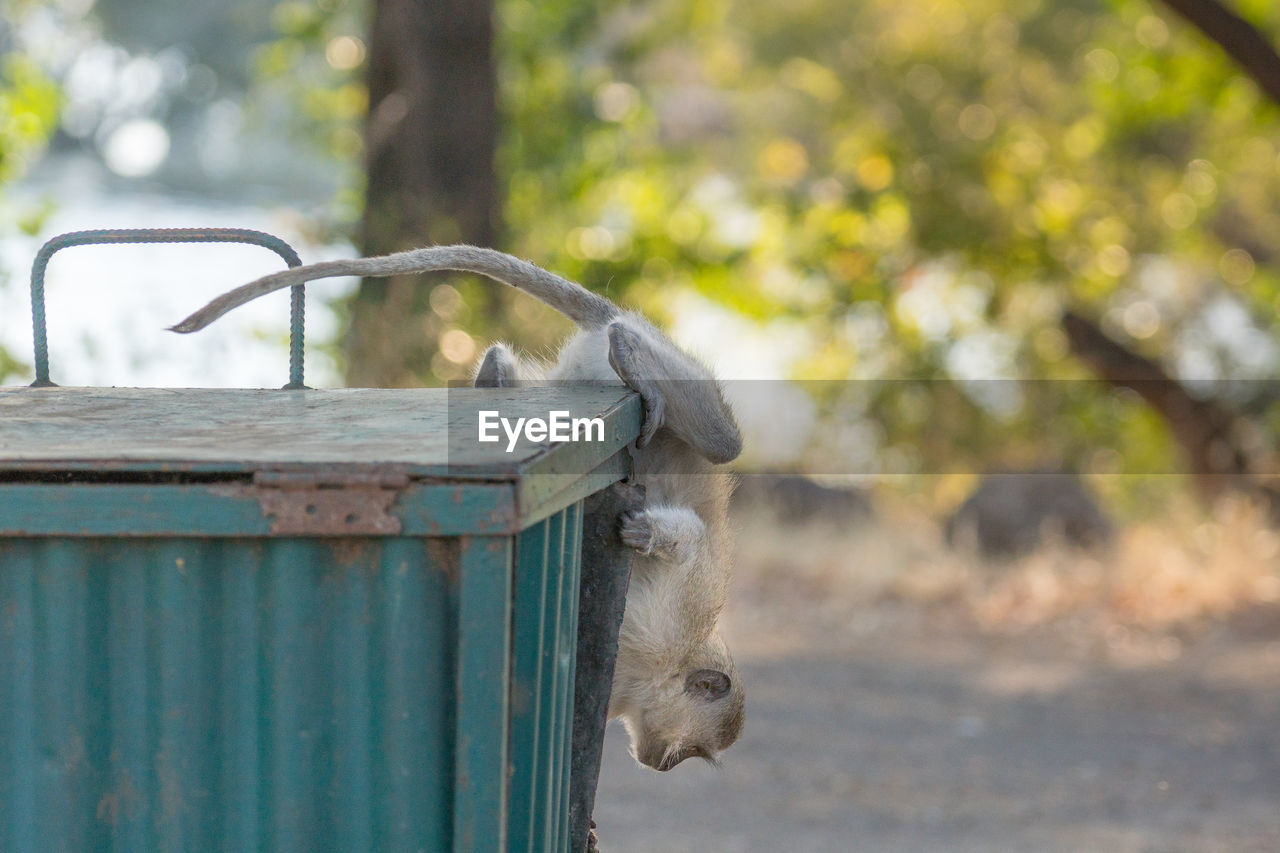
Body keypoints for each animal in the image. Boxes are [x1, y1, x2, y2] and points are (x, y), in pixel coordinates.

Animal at [171, 242, 747, 768]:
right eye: (692, 751)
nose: (657, 763)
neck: (658, 671)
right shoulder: (681, 616)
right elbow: (690, 539)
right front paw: (649, 534)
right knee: (723, 444)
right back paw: (628, 352)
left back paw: (498, 372)